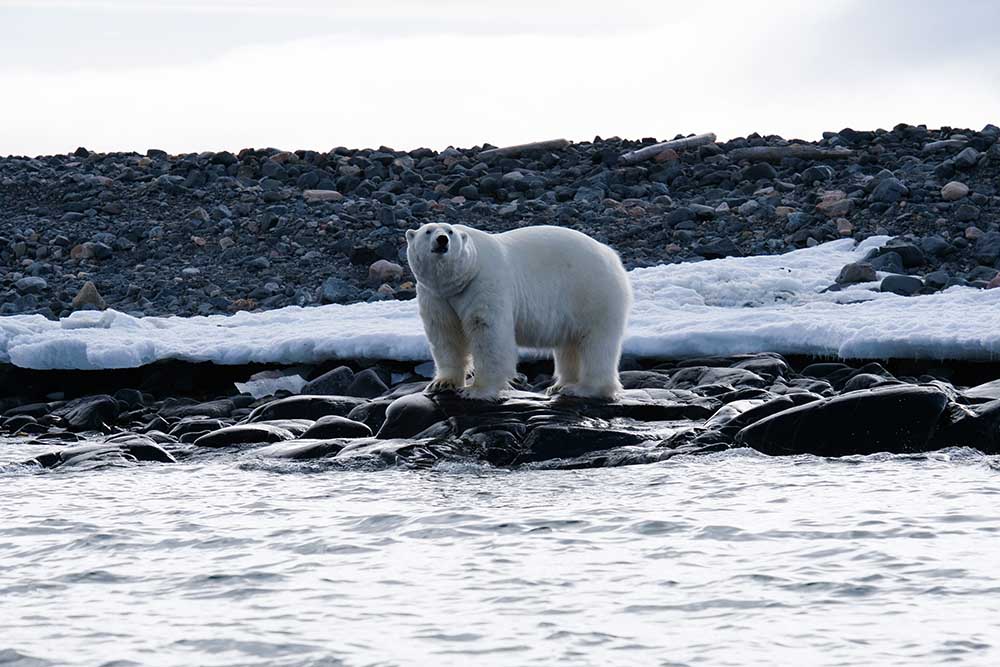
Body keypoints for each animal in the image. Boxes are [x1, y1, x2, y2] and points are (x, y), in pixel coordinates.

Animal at [406, 224, 632, 402]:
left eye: (450, 232)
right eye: (428, 231)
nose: (442, 240)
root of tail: (611, 255)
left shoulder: (483, 283)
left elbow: (487, 332)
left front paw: (476, 390)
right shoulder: (436, 295)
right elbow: (445, 333)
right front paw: (442, 383)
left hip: (591, 292)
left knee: (596, 343)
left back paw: (583, 389)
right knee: (570, 345)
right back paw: (560, 385)